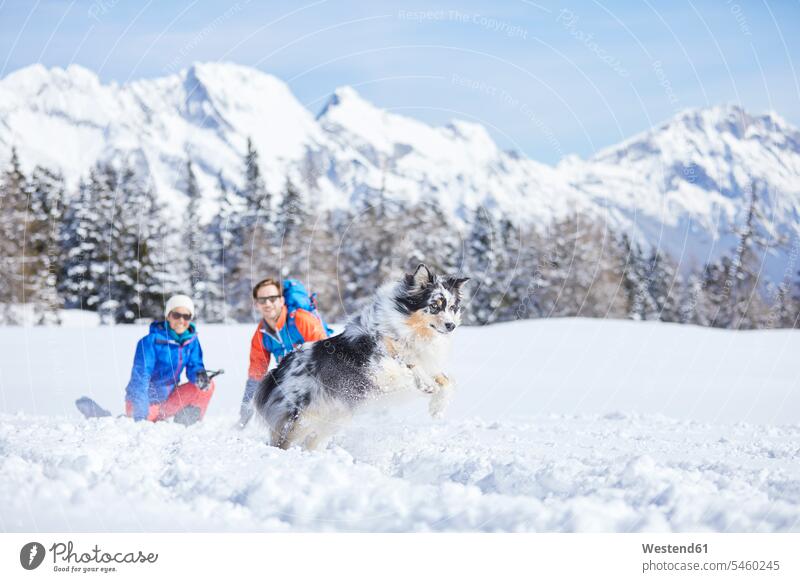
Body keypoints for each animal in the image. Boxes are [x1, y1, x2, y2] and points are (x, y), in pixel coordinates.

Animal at [255, 264, 468, 452]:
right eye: (434, 306)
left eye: (452, 307)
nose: (451, 326)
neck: (411, 332)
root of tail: (276, 371)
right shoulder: (374, 365)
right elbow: (402, 369)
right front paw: (426, 385)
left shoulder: (427, 362)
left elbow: (448, 381)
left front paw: (437, 408)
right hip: (299, 418)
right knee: (282, 442)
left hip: (331, 418)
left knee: (311, 442)